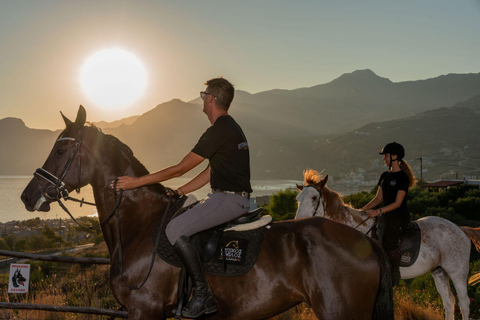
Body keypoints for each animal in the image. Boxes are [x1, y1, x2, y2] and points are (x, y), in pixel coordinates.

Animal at [294, 169, 480, 318]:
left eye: (314, 197)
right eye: (298, 198)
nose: (298, 222)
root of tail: (460, 228)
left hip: (457, 272)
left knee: (464, 303)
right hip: (439, 271)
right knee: (449, 302)